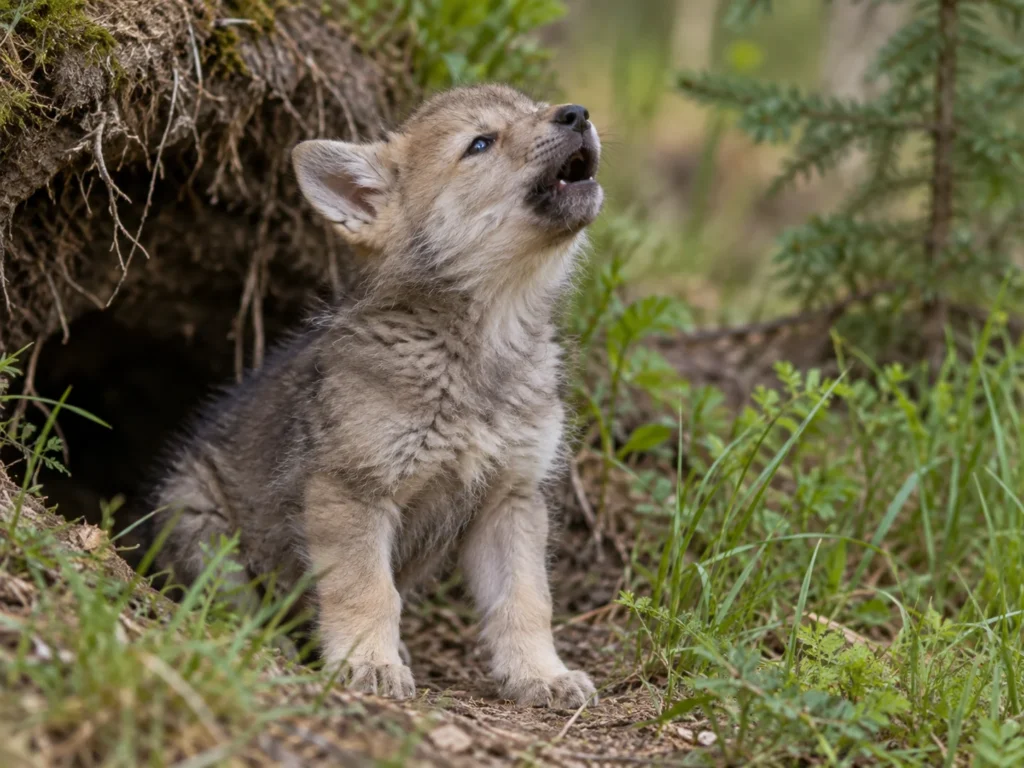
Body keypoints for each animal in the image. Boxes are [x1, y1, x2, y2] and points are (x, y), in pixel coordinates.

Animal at [151, 84, 603, 707]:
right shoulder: (352, 492)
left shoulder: (510, 498)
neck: (484, 348)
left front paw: (542, 674)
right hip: (198, 520)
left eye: (536, 105)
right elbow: (365, 591)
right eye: (480, 143)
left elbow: (526, 601)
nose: (578, 114)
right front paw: (368, 664)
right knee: (224, 606)